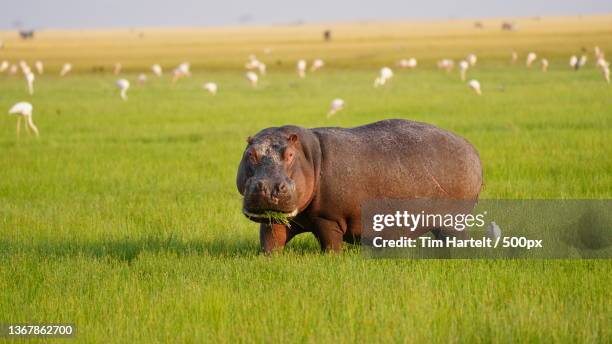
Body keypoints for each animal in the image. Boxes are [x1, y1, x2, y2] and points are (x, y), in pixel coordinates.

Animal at [237, 119, 480, 253]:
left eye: (289, 154)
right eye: (251, 154)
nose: (269, 187)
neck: (310, 156)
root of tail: (470, 147)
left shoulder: (328, 219)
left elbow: (330, 244)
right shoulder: (275, 218)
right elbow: (271, 240)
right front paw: (267, 259)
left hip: (453, 220)